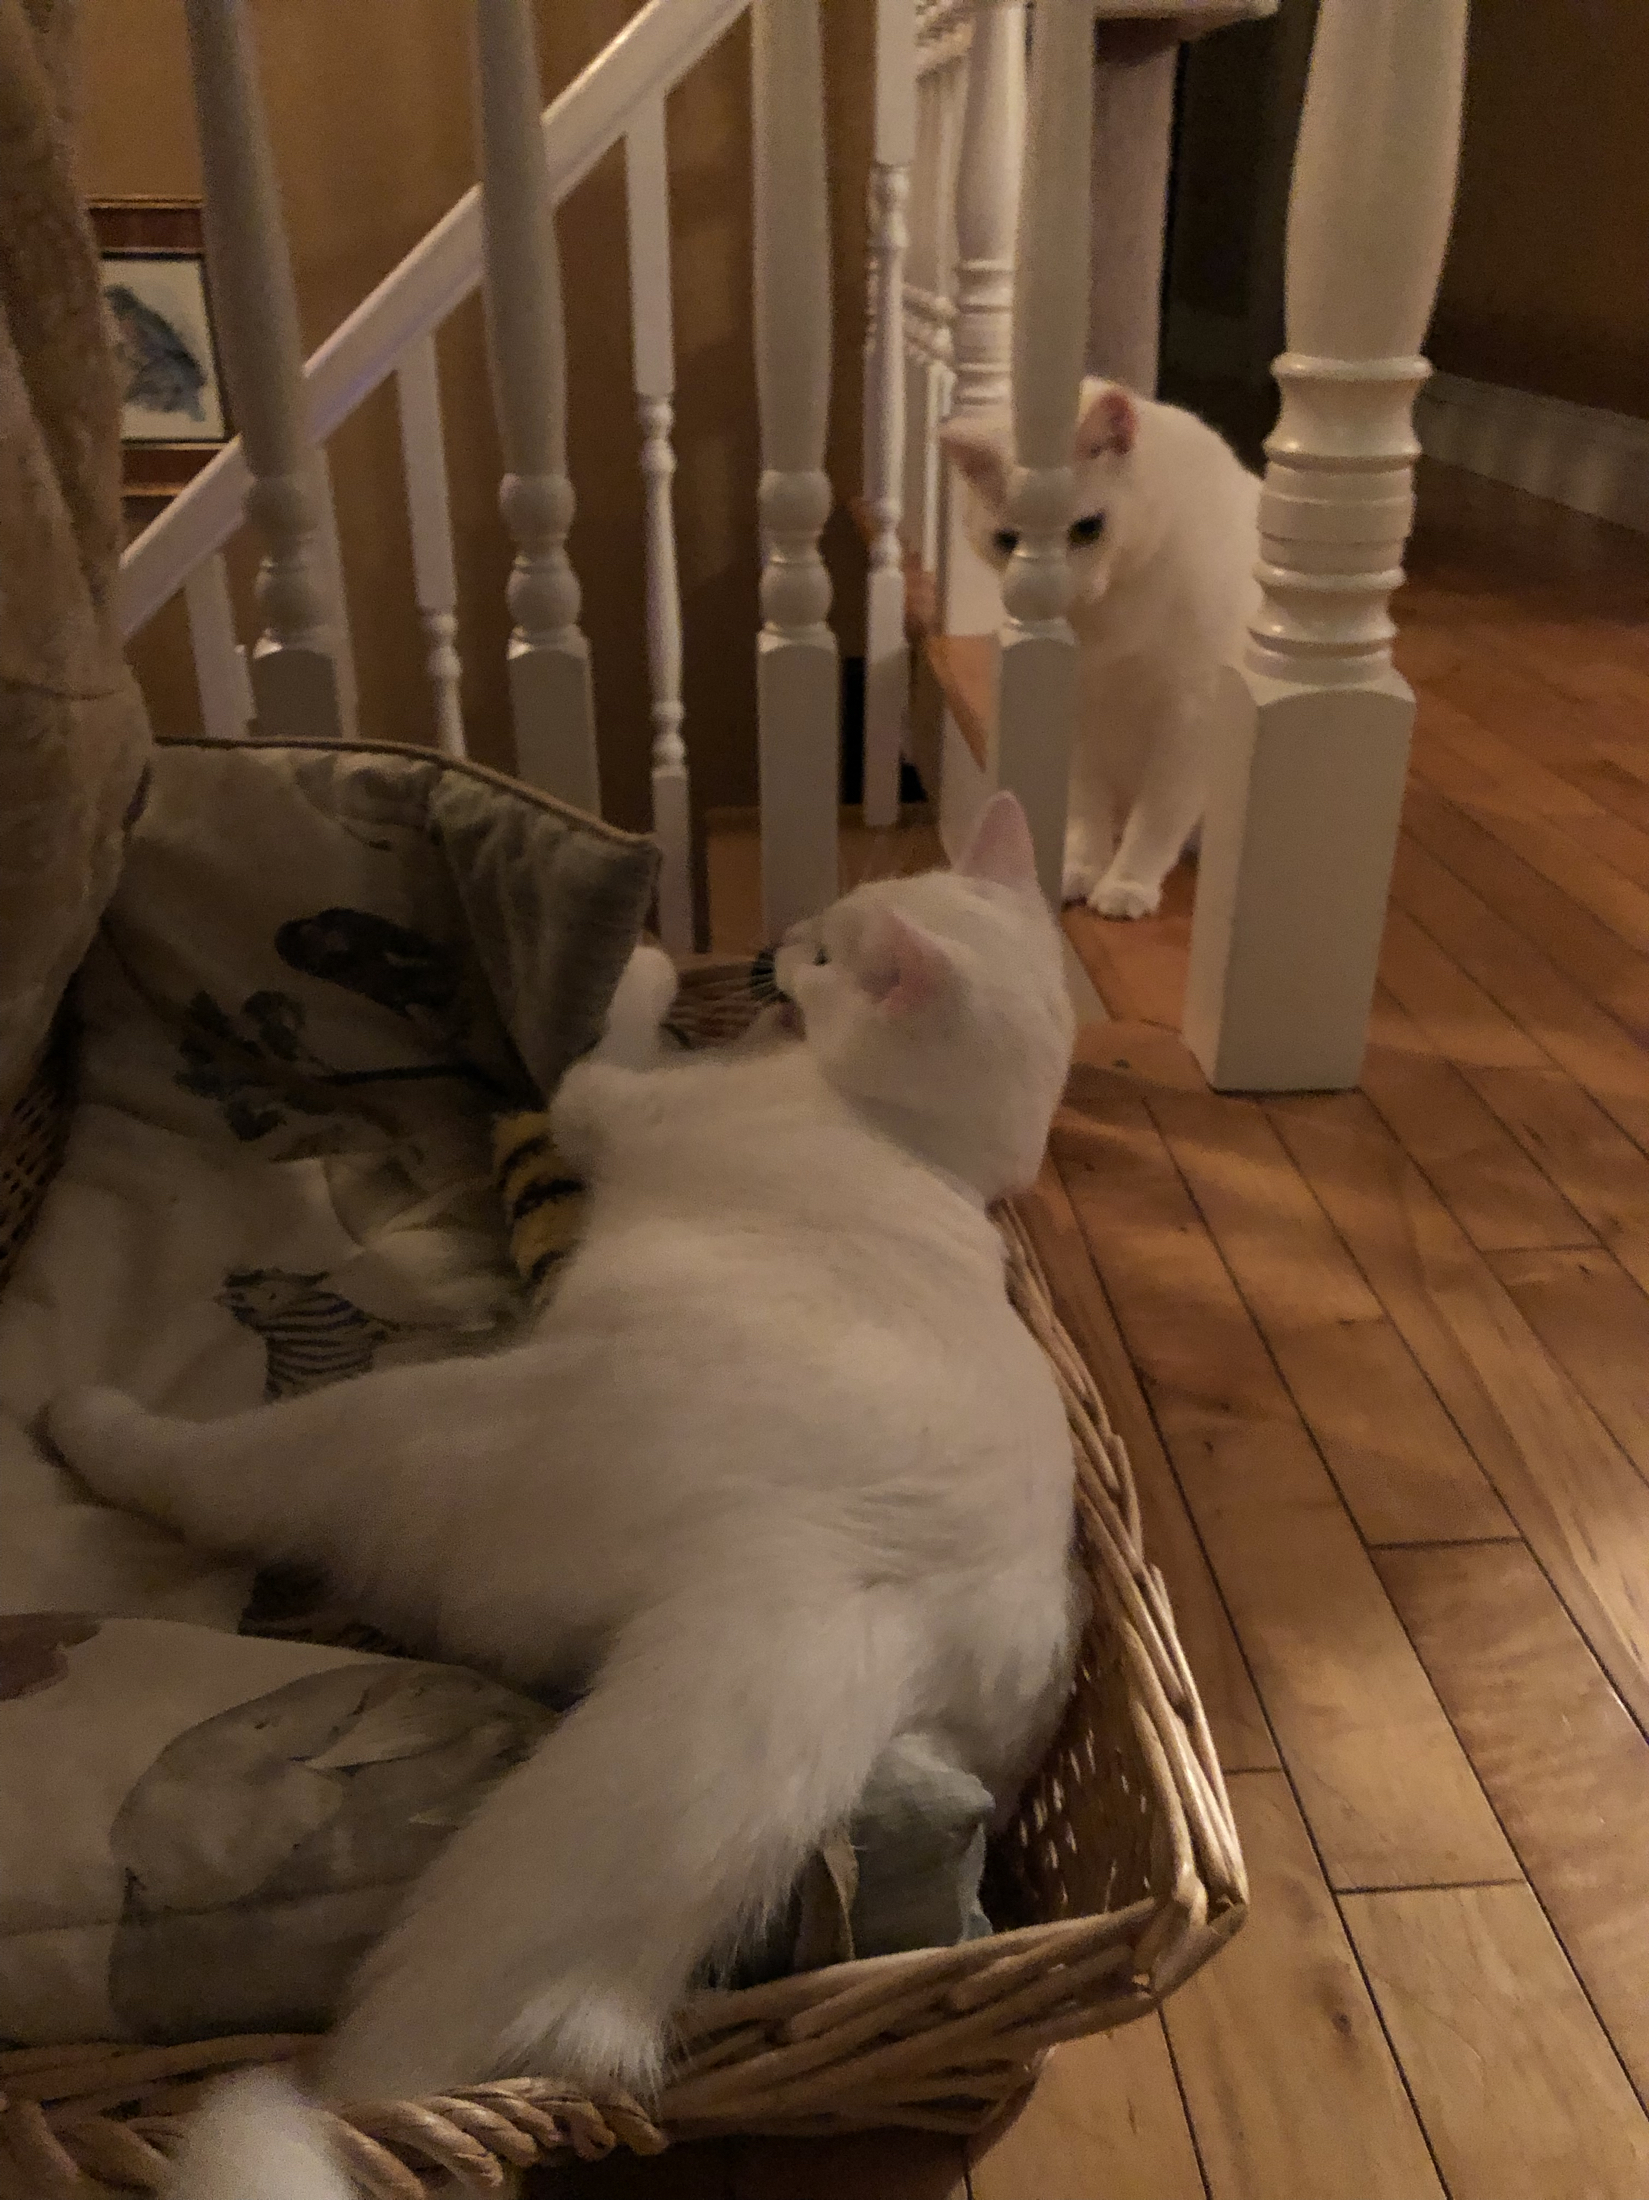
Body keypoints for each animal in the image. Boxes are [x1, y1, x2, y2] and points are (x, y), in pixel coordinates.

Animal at [45, 792, 1086, 2182]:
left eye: (822, 958)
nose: (779, 944)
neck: (918, 1145)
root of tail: (856, 1581)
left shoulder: (609, 1104)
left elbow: (600, 1046)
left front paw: (641, 962)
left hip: (397, 1433)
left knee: (210, 1478)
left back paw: (85, 1420)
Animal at [941, 378, 1266, 919]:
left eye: (1088, 528)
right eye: (1008, 540)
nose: (1054, 587)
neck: (1112, 618)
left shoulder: (1191, 721)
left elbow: (1157, 817)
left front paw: (1127, 884)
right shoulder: (1079, 714)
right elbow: (1086, 810)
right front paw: (1082, 868)